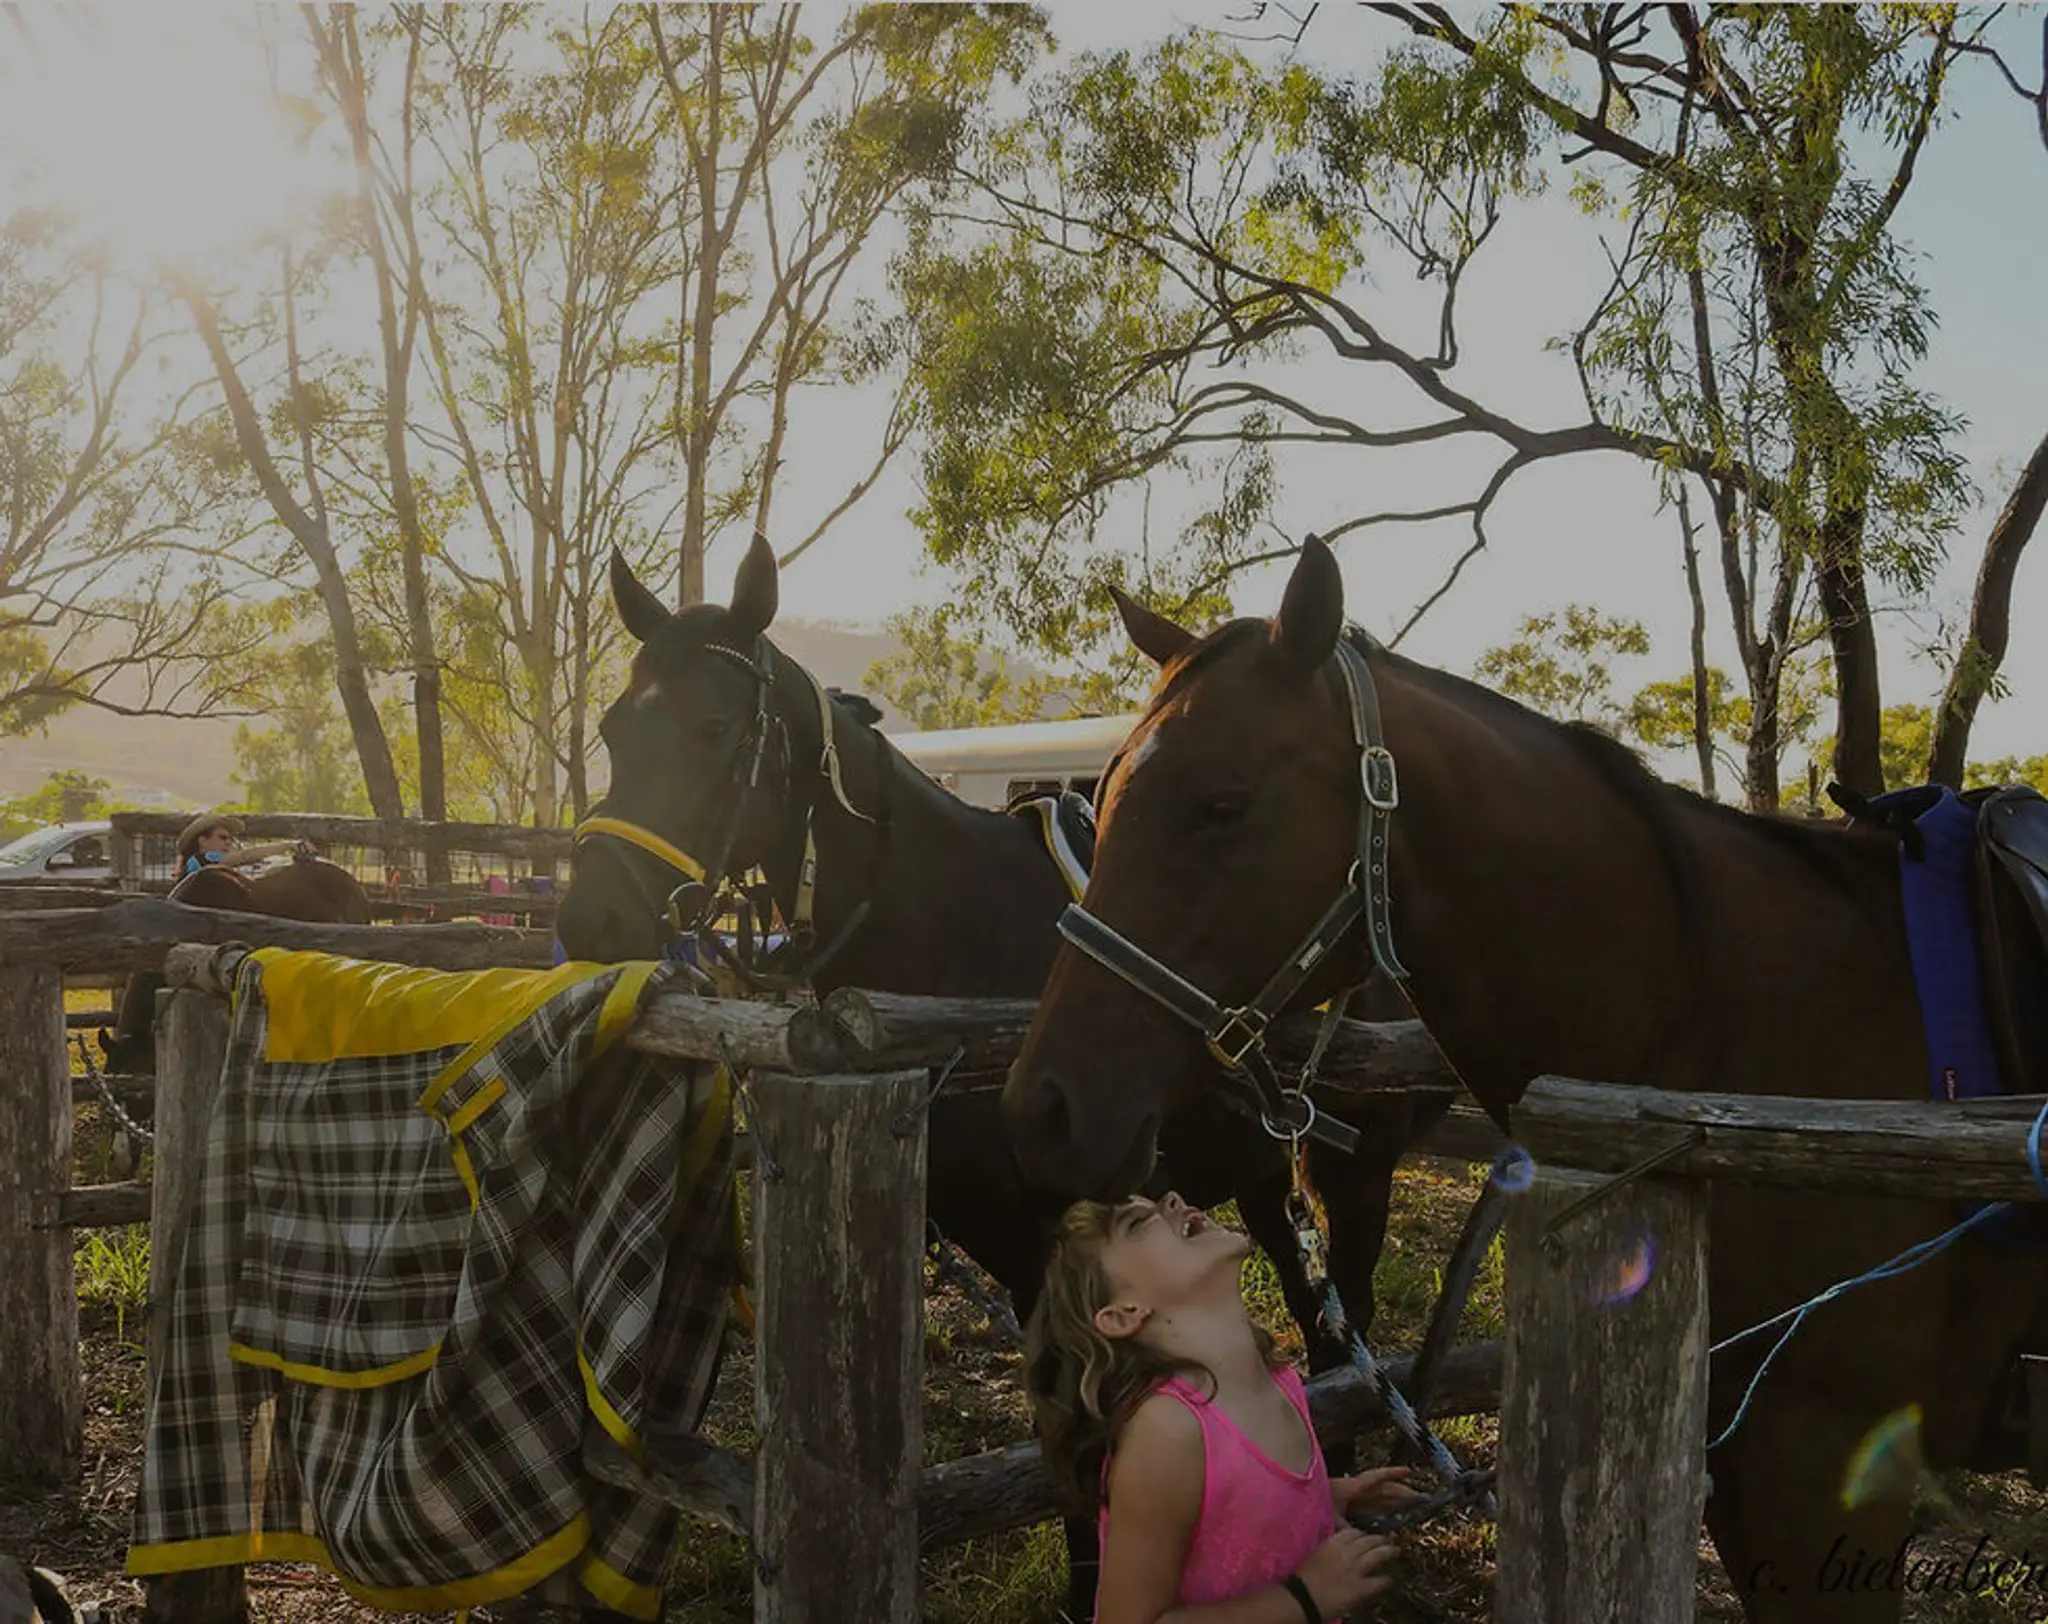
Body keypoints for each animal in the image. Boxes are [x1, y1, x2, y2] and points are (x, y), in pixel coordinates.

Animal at [551, 535, 1446, 1619]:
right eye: (611, 730)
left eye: (715, 728)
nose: (592, 917)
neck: (959, 933)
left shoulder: (1043, 1251)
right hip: (1267, 1180)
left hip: (1351, 1175)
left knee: (1341, 1344)